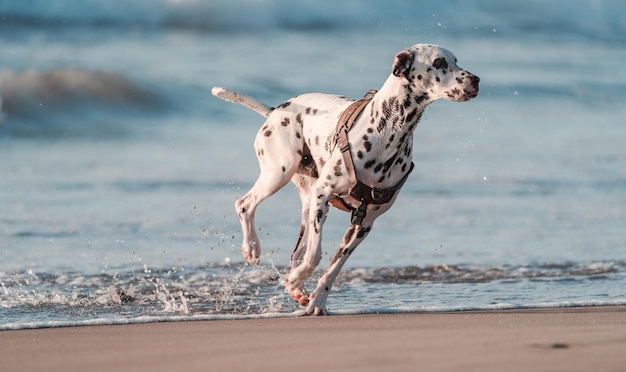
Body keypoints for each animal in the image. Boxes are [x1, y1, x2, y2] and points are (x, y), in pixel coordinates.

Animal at [211, 45, 478, 316]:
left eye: (456, 60)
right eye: (439, 62)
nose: (475, 80)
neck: (388, 133)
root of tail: (276, 111)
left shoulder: (363, 224)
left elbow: (333, 268)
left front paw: (317, 300)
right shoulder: (323, 193)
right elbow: (315, 256)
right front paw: (296, 280)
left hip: (308, 203)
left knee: (297, 253)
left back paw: (298, 289)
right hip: (280, 174)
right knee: (245, 204)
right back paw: (252, 248)